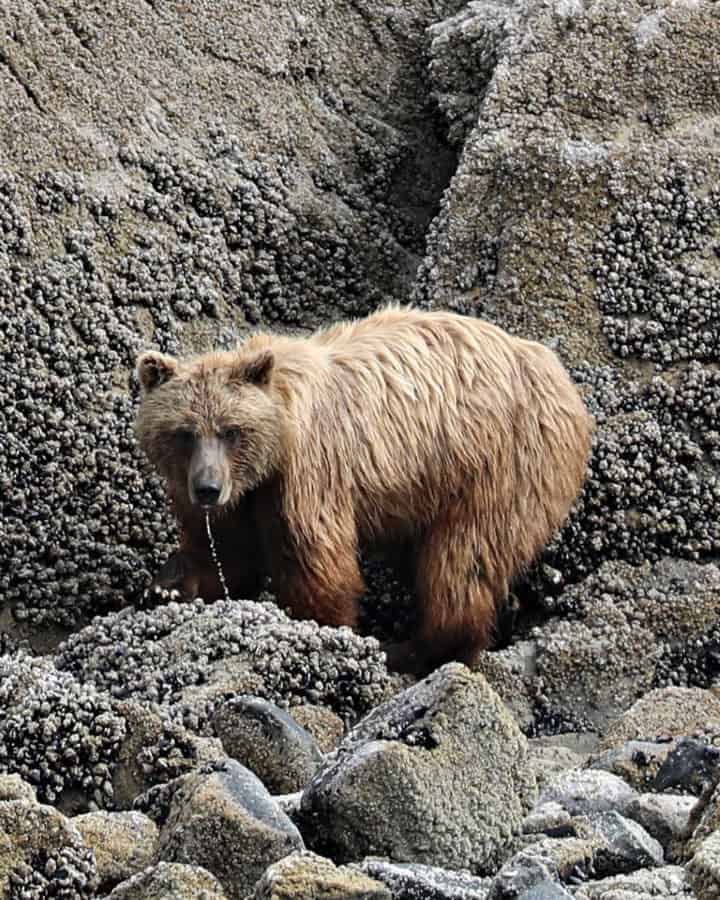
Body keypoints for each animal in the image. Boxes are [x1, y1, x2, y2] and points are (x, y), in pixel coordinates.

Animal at [134, 306, 592, 672]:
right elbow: (226, 554)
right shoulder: (237, 496)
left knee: (463, 559)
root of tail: (559, 374)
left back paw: (416, 648)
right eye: (184, 433)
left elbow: (317, 560)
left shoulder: (308, 471)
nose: (208, 488)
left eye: (232, 430)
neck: (272, 452)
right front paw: (167, 586)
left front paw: (321, 626)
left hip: (500, 462)